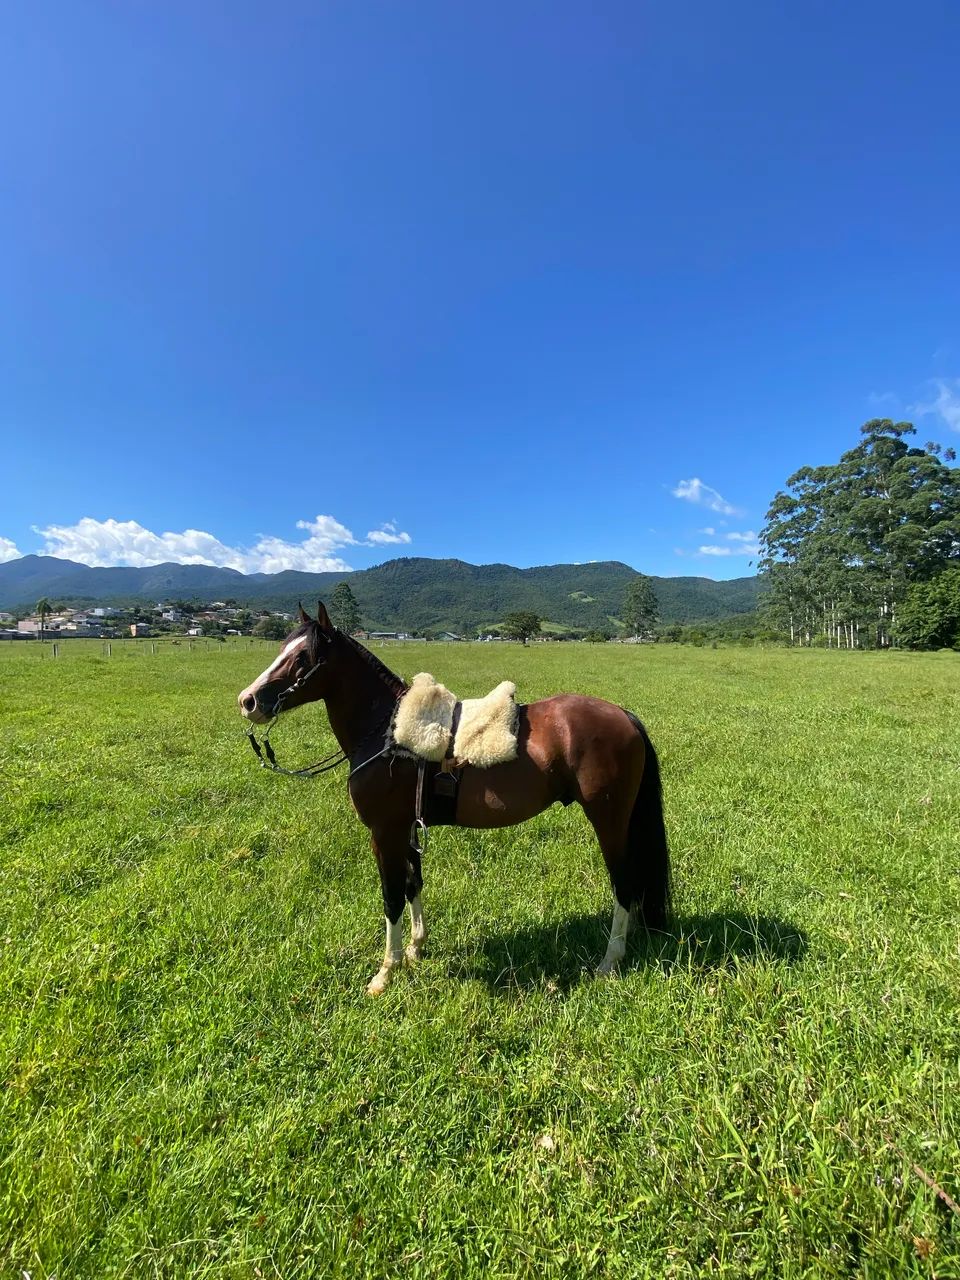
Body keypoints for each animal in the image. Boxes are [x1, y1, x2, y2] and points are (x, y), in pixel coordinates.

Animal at [238, 602, 671, 995]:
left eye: (302, 657)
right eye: (282, 646)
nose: (248, 701)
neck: (386, 732)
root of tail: (623, 715)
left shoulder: (384, 833)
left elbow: (391, 897)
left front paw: (386, 973)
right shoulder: (405, 830)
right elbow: (413, 884)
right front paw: (415, 949)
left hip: (608, 821)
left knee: (623, 883)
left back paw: (609, 961)